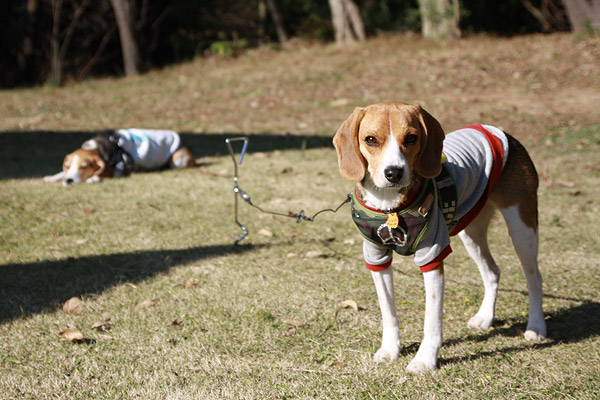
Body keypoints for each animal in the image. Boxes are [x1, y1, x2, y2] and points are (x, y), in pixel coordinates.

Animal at [44, 128, 195, 186]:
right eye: (67, 166)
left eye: (84, 167)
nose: (68, 180)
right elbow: (59, 173)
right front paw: (51, 177)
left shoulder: (119, 170)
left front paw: (93, 178)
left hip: (177, 159)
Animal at [336, 102, 548, 372]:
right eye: (371, 140)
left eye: (411, 138)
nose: (394, 172)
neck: (390, 207)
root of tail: (497, 131)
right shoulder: (376, 257)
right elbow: (388, 311)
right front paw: (391, 349)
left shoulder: (432, 256)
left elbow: (432, 320)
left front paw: (424, 360)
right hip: (472, 231)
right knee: (492, 272)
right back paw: (485, 318)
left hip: (522, 226)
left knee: (534, 277)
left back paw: (536, 326)